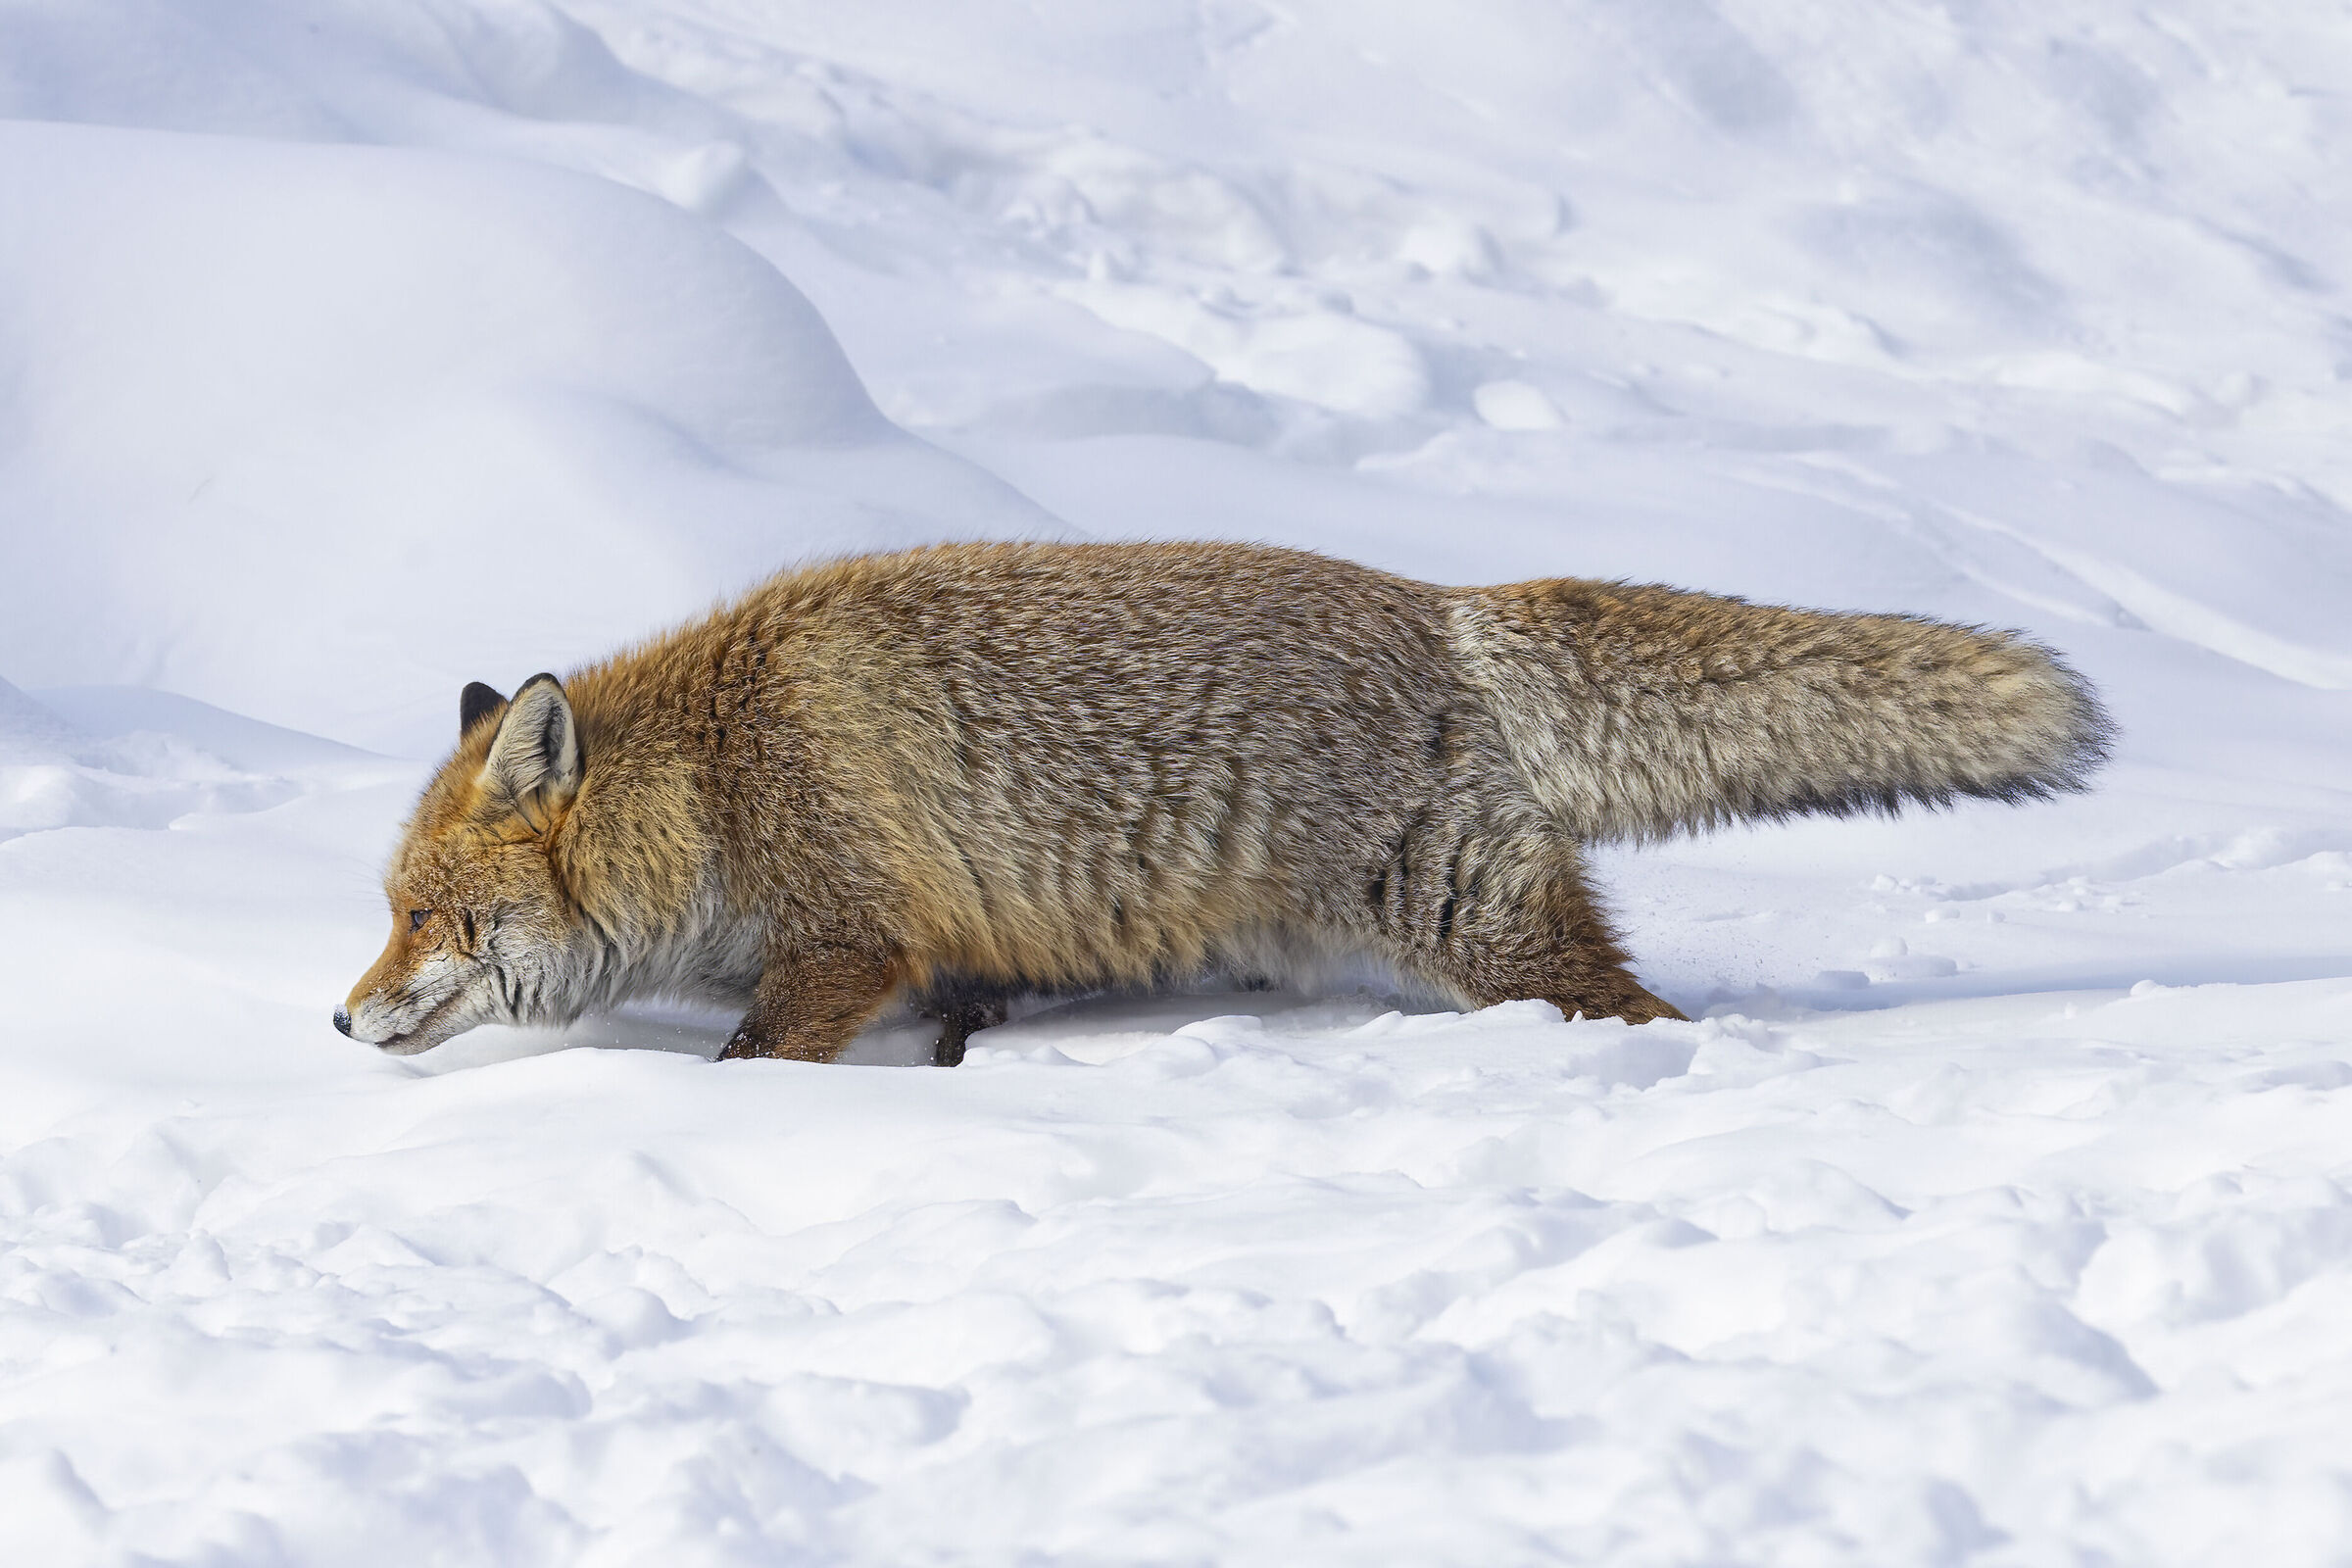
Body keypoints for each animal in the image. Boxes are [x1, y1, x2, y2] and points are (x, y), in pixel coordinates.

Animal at [336, 541, 2109, 1064]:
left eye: (426, 915)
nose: (340, 1023)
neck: (714, 787)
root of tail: (1439, 606)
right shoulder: (949, 959)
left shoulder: (846, 935)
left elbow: (755, 1062)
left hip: (1479, 929)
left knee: (1633, 1007)